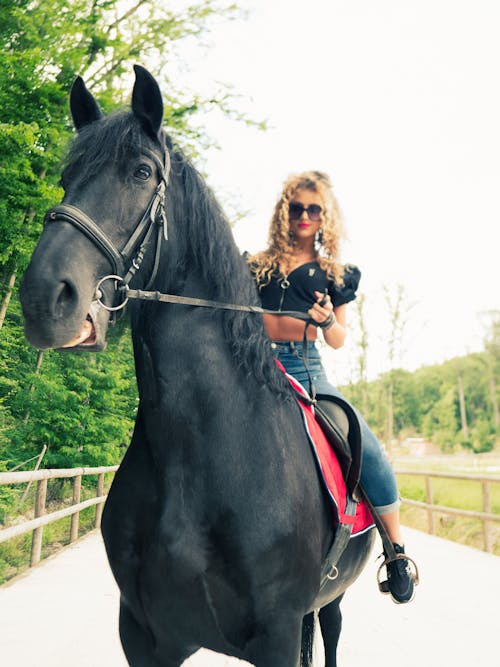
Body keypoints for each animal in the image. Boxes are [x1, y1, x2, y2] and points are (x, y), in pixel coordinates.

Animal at [21, 66, 376, 667]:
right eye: (67, 177)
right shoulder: (145, 637)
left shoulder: (278, 638)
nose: (45, 297)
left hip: (334, 599)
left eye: (141, 172)